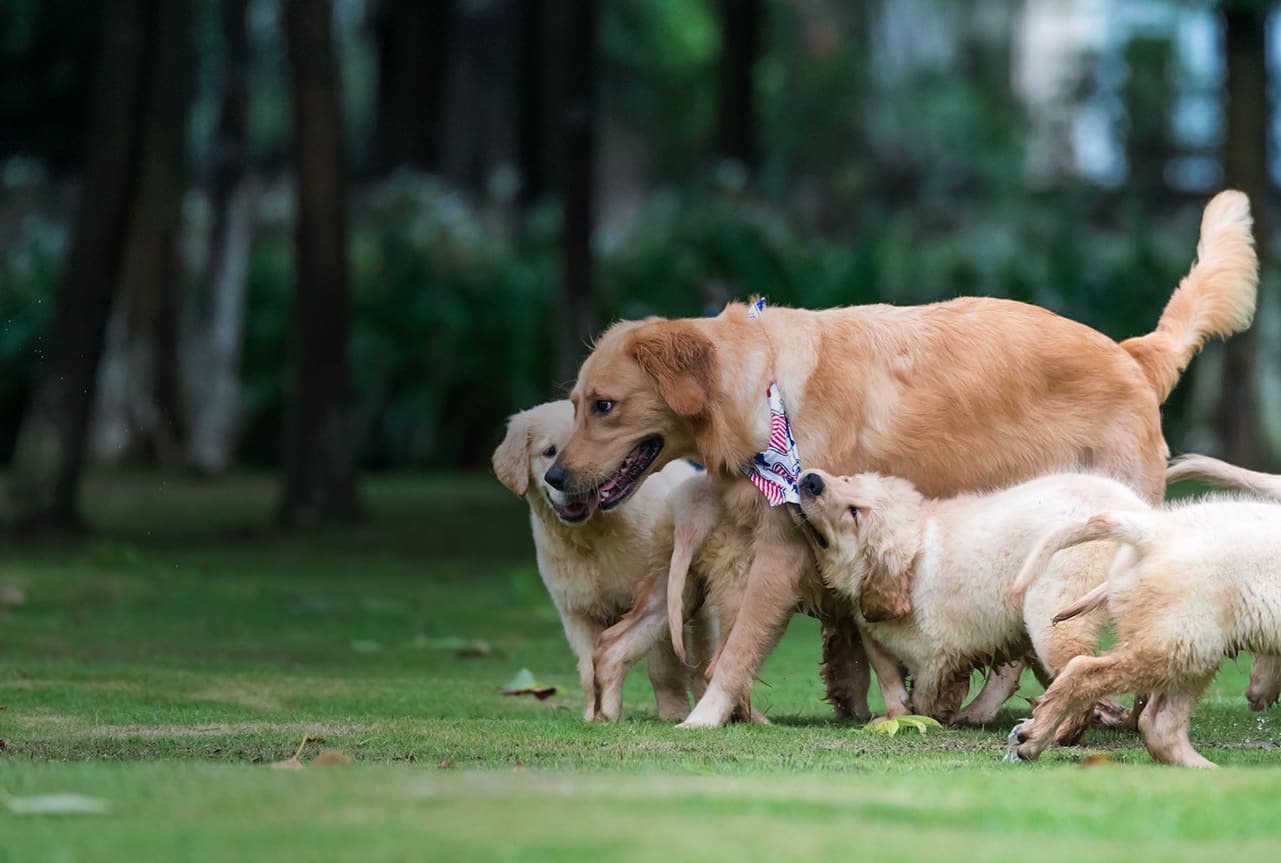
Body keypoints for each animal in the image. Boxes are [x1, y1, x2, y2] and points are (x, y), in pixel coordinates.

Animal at [491, 402, 712, 717]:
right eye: (549, 451)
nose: (562, 481)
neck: (591, 533)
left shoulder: (656, 601)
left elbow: (663, 668)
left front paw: (673, 713)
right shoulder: (577, 612)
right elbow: (588, 669)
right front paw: (596, 715)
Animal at [794, 466, 1147, 737]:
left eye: (855, 513)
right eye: (847, 479)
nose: (811, 479)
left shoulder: (934, 654)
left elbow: (924, 694)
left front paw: (928, 716)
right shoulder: (873, 631)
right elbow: (888, 677)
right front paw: (895, 715)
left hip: (1051, 611)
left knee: (1077, 669)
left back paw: (1057, 732)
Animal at [1004, 491, 1281, 768]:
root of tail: (1151, 533)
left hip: (1192, 645)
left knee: (1159, 722)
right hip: (1179, 639)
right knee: (1084, 669)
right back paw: (1032, 738)